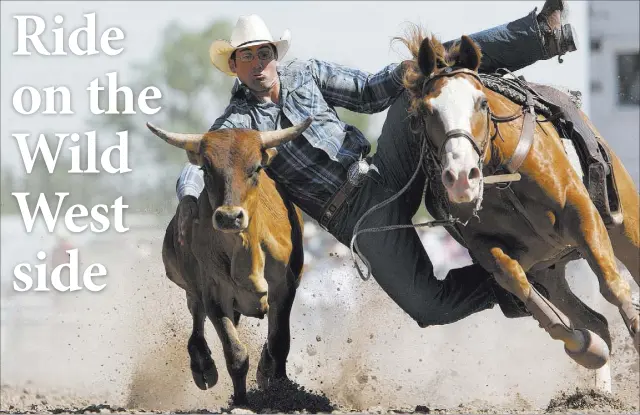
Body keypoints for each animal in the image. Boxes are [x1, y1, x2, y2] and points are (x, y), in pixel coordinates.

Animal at [398, 27, 636, 392]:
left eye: (481, 102)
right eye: (426, 111)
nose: (462, 177)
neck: (501, 174)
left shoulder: (581, 212)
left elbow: (614, 287)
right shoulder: (486, 247)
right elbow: (521, 286)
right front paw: (586, 348)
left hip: (626, 228)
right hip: (550, 270)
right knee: (595, 320)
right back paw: (600, 391)